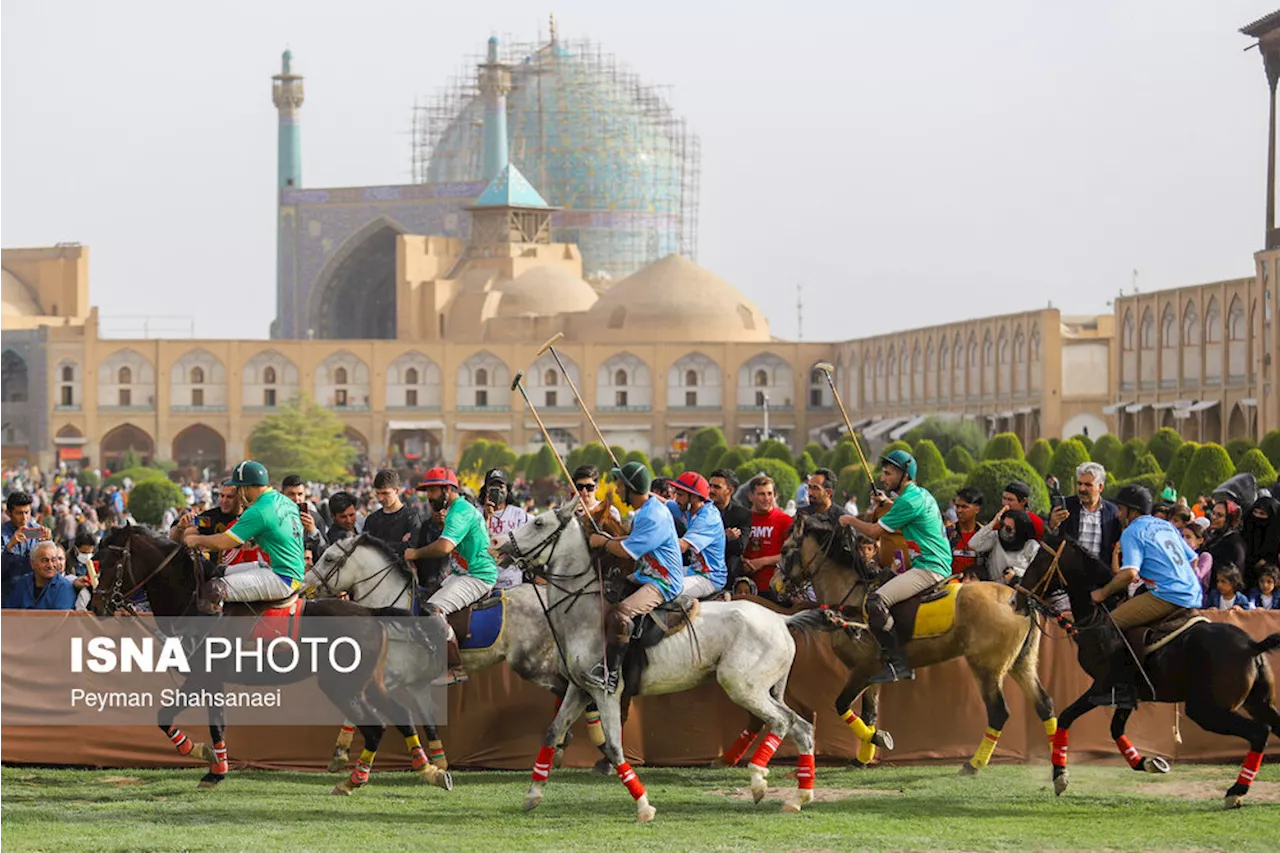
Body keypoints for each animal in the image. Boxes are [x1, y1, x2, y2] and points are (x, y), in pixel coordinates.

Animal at [91, 522, 450, 794]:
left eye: (108, 563)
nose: (95, 605)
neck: (192, 602)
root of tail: (370, 611)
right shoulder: (211, 680)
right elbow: (202, 722)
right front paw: (213, 764)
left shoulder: (203, 676)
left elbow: (176, 718)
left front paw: (205, 759)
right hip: (369, 683)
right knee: (402, 715)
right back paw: (429, 769)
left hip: (341, 685)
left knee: (376, 726)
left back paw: (352, 781)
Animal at [499, 502, 829, 819]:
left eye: (538, 523)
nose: (500, 544)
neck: (584, 613)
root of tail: (782, 619)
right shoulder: (579, 689)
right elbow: (552, 731)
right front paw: (532, 795)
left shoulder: (607, 692)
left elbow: (615, 747)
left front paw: (643, 805)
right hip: (768, 689)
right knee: (801, 727)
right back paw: (799, 798)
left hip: (742, 686)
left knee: (782, 721)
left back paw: (759, 780)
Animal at [773, 512, 1054, 768]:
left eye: (785, 550)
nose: (776, 587)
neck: (850, 600)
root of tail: (1020, 600)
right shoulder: (874, 673)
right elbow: (870, 713)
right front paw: (864, 756)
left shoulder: (863, 669)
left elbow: (842, 706)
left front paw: (878, 738)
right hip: (1021, 662)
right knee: (1044, 705)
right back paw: (1057, 768)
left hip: (987, 667)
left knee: (999, 712)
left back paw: (974, 764)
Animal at [1018, 537, 1280, 804]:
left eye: (1040, 559)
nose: (1018, 596)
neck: (1096, 618)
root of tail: (1251, 645)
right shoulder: (1128, 694)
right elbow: (1116, 729)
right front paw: (1147, 762)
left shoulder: (1103, 686)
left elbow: (1067, 716)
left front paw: (1060, 776)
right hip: (1257, 703)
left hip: (1207, 710)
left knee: (1259, 733)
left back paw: (1236, 791)